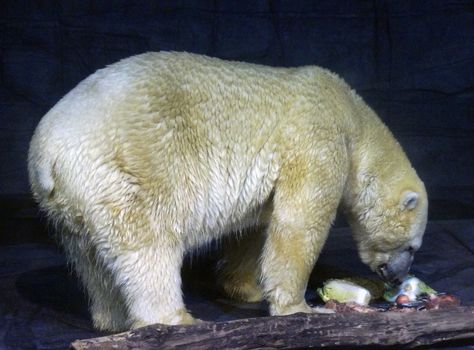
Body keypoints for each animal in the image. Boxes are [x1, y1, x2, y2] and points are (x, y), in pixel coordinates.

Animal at [27, 52, 428, 330]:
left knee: (91, 260)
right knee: (149, 247)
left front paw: (247, 288)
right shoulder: (316, 140)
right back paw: (177, 320)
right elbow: (299, 223)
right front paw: (300, 307)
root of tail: (48, 151)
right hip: (128, 171)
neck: (353, 118)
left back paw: (112, 319)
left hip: (73, 201)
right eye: (411, 247)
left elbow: (255, 229)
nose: (397, 276)